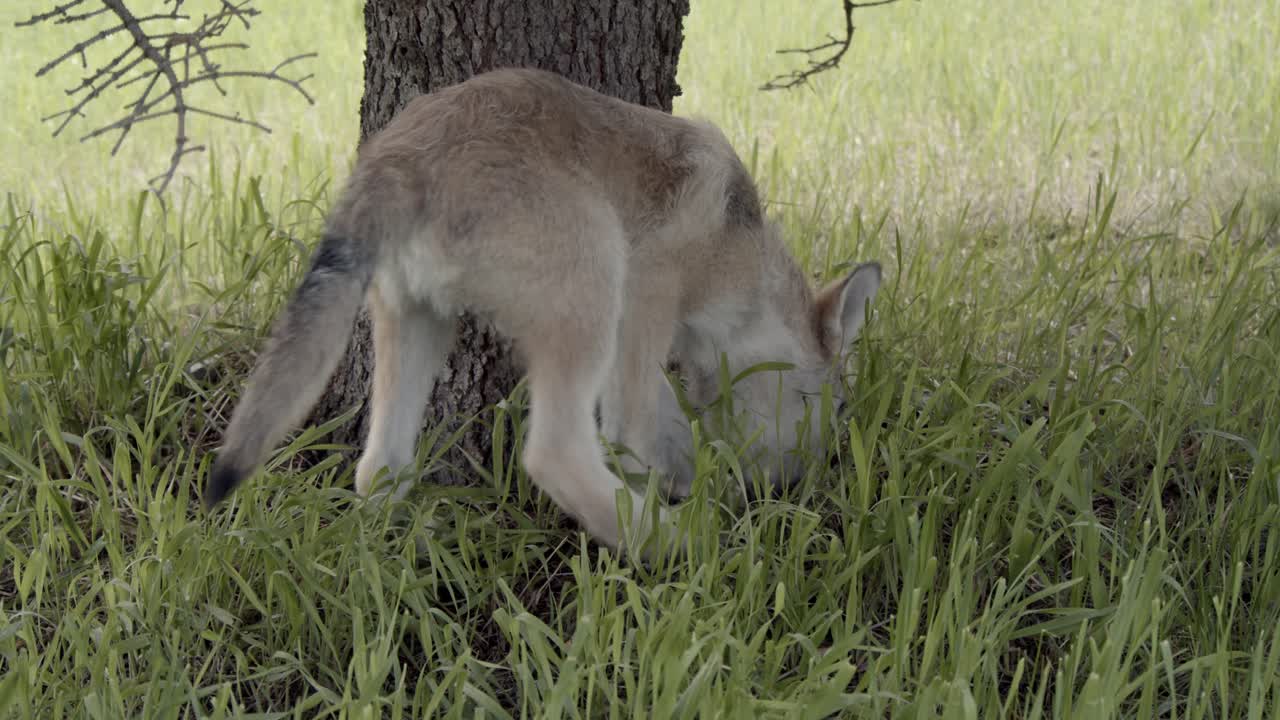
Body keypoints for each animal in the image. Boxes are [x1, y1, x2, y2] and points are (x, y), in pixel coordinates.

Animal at [204, 68, 881, 555]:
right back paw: (677, 542)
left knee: (379, 468)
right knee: (557, 453)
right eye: (839, 408)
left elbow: (666, 424)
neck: (742, 259)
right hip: (590, 283)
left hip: (415, 323)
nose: (790, 492)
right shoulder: (644, 308)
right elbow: (639, 431)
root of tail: (402, 156)